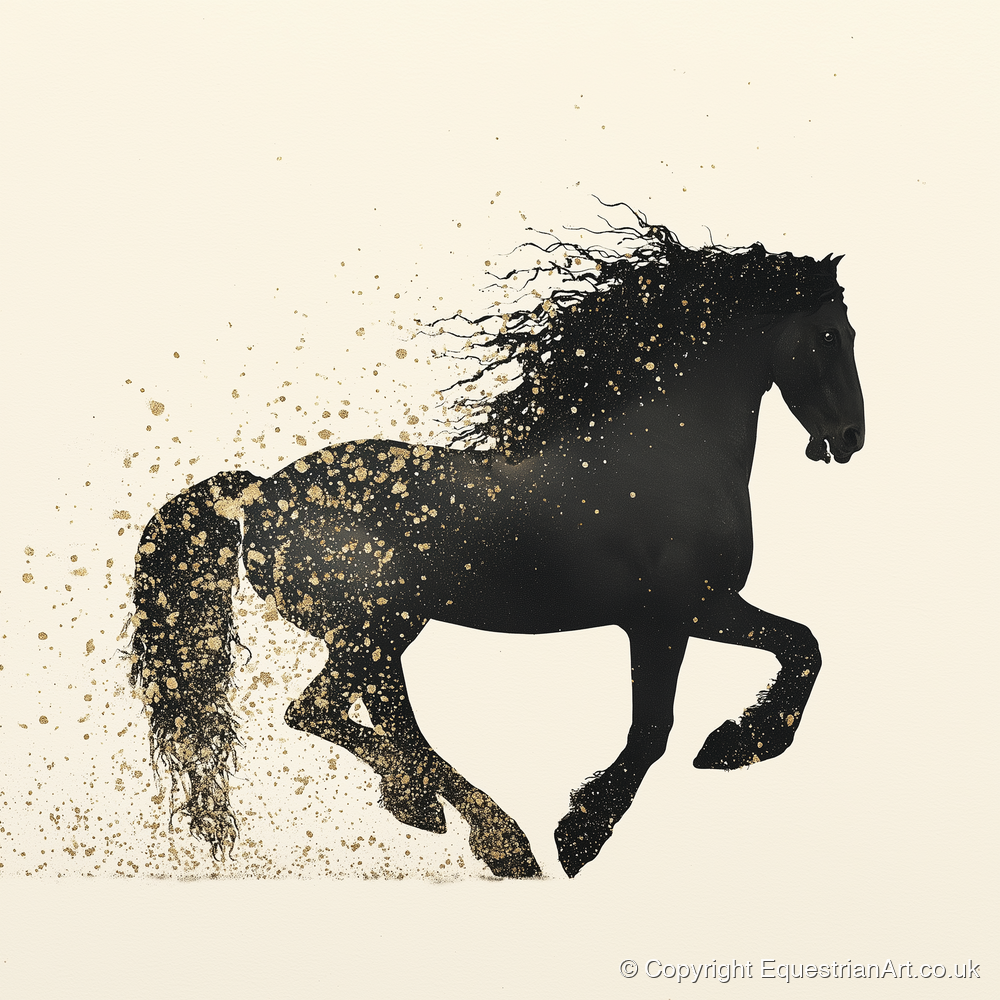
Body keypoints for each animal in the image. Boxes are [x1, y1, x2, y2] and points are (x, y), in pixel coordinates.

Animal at [127, 211, 865, 879]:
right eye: (832, 333)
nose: (850, 437)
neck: (667, 455)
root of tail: (257, 493)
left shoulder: (692, 613)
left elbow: (800, 647)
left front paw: (736, 744)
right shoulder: (675, 614)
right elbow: (664, 725)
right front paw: (585, 832)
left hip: (374, 633)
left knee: (353, 713)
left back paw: (425, 806)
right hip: (379, 626)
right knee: (355, 716)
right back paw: (501, 839)